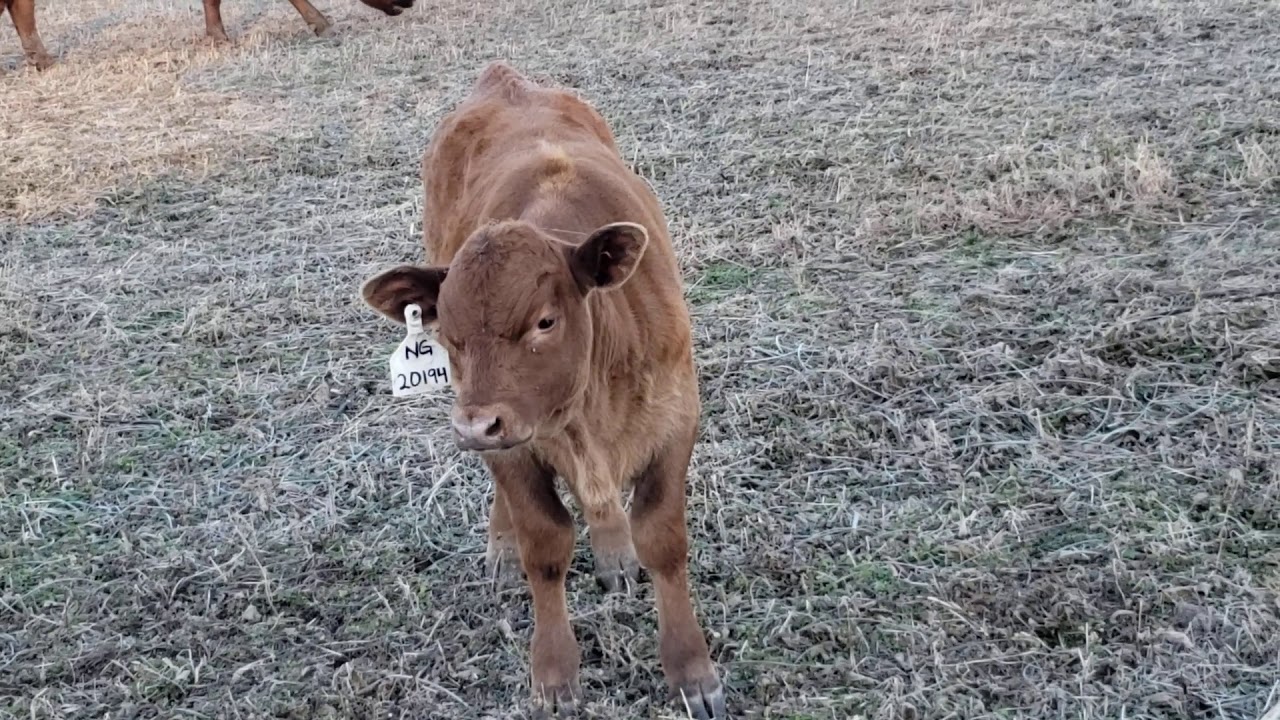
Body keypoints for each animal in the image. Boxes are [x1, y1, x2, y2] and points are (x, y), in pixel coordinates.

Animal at [360, 61, 728, 719]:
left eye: (545, 321)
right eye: (447, 335)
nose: (474, 424)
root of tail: (503, 77)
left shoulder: (676, 420)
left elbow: (662, 539)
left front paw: (693, 672)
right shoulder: (513, 451)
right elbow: (546, 543)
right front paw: (554, 674)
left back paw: (613, 552)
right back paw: (503, 551)